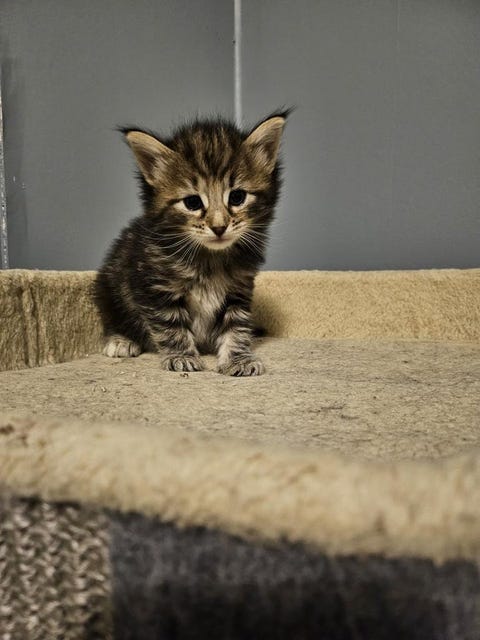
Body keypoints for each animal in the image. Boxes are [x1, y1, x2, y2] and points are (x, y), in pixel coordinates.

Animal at [94, 111, 287, 376]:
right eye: (193, 202)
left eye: (237, 197)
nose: (219, 227)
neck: (210, 258)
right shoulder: (155, 288)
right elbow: (170, 325)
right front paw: (181, 356)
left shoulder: (238, 290)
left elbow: (236, 327)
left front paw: (238, 358)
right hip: (108, 284)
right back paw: (121, 340)